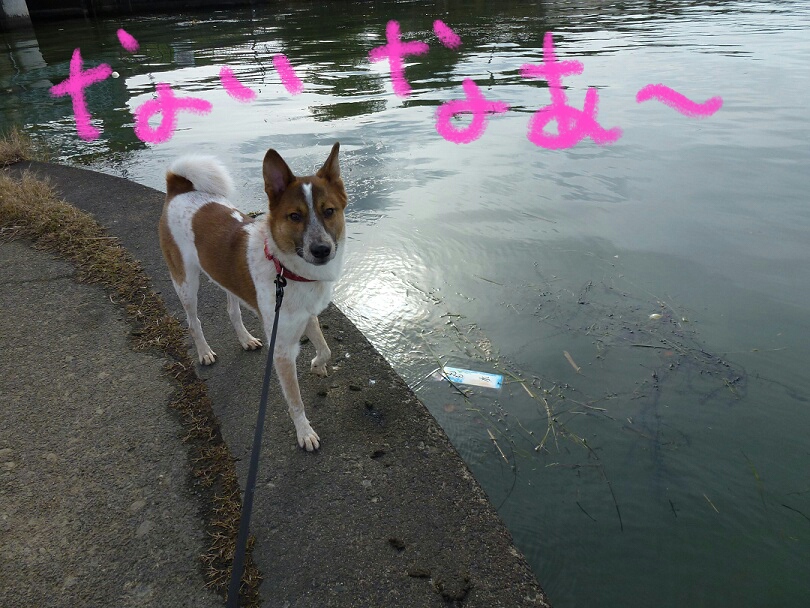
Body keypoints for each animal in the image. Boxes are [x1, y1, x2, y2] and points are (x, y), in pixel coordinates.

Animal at [158, 143, 347, 451]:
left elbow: (326, 348)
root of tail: (179, 188)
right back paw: (204, 352)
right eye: (294, 216)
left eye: (329, 211)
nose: (321, 249)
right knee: (193, 322)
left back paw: (245, 339)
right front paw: (304, 432)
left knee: (232, 311)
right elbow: (295, 400)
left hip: (226, 278)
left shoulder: (307, 316)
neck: (286, 269)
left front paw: (317, 365)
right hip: (186, 282)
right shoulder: (282, 349)